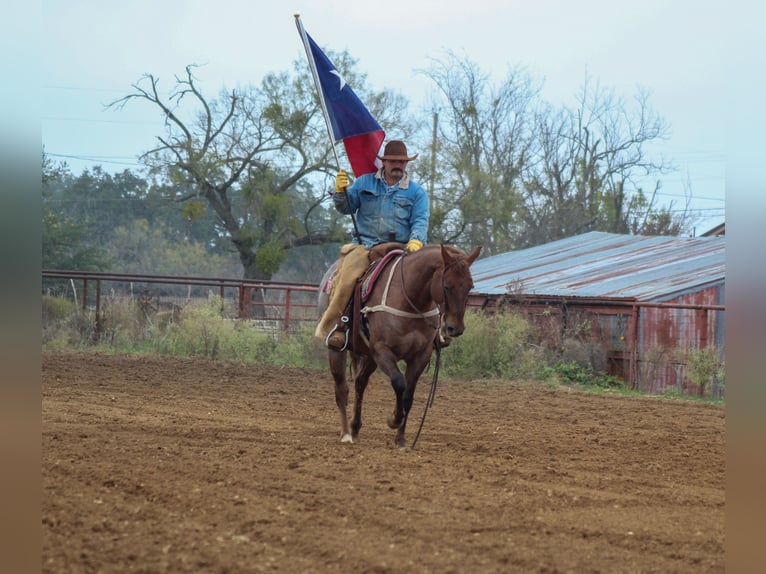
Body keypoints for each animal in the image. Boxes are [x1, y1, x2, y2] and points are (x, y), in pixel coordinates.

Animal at [318, 244, 482, 449]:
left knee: (360, 382)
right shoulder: (382, 350)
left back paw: (355, 427)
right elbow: (398, 382)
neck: (409, 300)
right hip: (338, 350)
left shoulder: (420, 356)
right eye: (446, 286)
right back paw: (346, 433)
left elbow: (408, 395)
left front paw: (401, 439)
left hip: (370, 357)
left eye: (470, 286)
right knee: (341, 389)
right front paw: (394, 419)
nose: (455, 328)